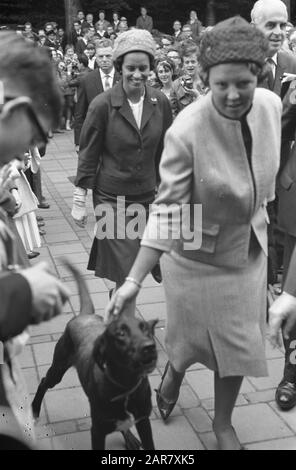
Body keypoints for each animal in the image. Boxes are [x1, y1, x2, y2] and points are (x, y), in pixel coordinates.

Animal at [31, 262, 158, 450]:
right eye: (120, 334)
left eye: (146, 330)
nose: (150, 347)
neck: (126, 386)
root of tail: (85, 315)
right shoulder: (97, 431)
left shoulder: (144, 421)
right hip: (58, 370)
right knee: (43, 382)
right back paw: (34, 409)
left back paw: (129, 437)